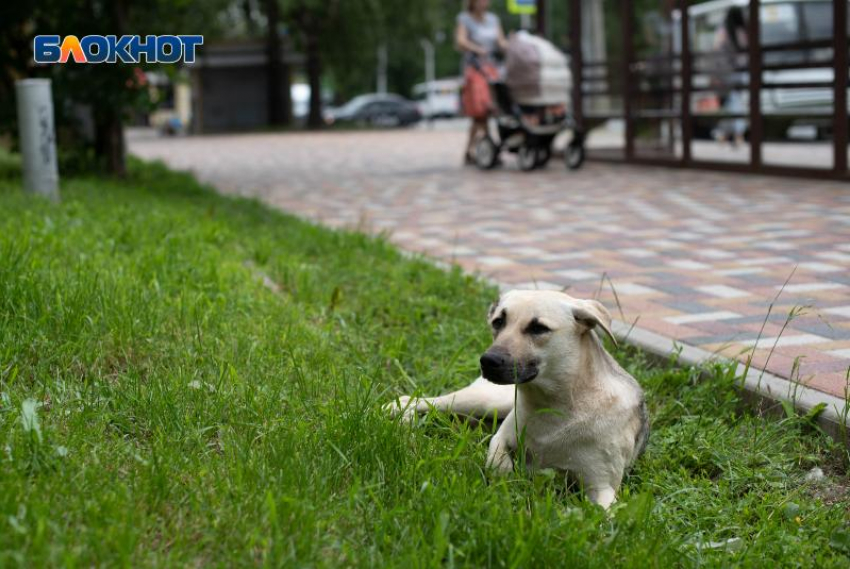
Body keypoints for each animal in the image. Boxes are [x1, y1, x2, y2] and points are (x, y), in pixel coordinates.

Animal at [386, 290, 648, 508]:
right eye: (498, 322)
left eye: (538, 328)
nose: (488, 361)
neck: (557, 406)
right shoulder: (502, 436)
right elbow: (497, 460)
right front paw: (508, 481)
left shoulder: (603, 486)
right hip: (486, 401)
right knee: (420, 400)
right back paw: (400, 413)